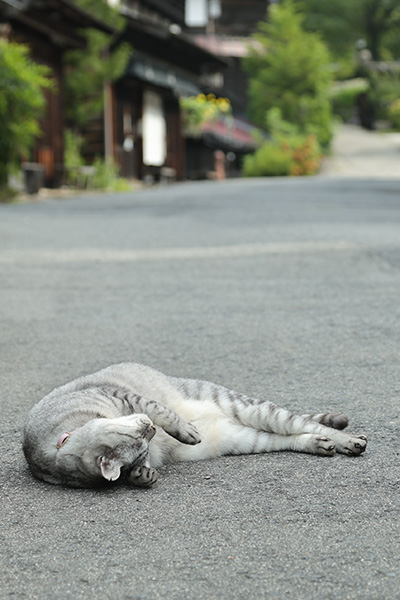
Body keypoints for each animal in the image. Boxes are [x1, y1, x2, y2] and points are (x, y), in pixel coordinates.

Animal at [21, 360, 366, 488]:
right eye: (141, 445)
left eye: (142, 433)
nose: (151, 429)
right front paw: (142, 475)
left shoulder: (128, 397)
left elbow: (162, 410)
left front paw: (182, 429)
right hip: (245, 438)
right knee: (287, 436)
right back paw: (318, 444)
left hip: (247, 407)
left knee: (304, 423)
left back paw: (347, 439)